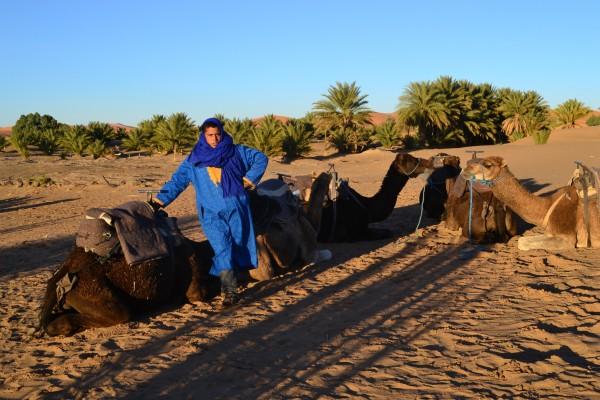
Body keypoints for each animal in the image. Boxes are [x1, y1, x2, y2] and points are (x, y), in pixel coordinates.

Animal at [37, 173, 332, 336]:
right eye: (281, 222)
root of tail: (62, 275)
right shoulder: (197, 285)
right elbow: (198, 293)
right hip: (95, 293)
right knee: (119, 314)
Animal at [460, 156, 596, 250]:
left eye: (487, 164)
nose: (465, 169)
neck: (546, 208)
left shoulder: (567, 237)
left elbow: (521, 243)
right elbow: (522, 240)